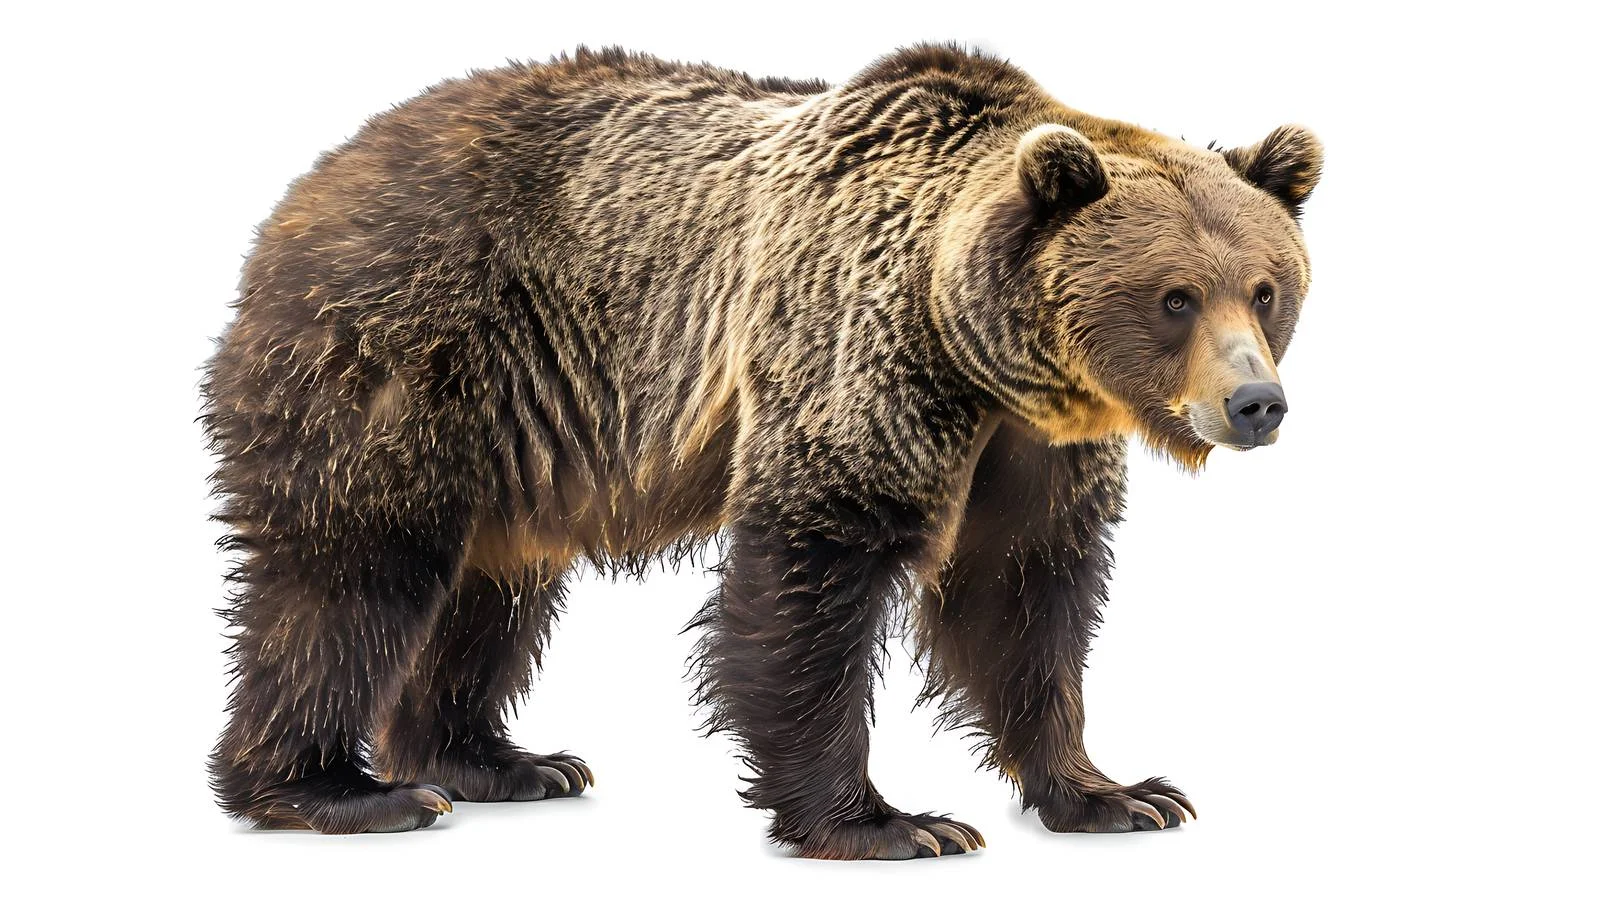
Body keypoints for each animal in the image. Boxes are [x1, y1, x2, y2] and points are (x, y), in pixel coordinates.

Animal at [203, 44, 1321, 859]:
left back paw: (502, 761)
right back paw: (337, 790)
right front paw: (890, 821)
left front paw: (1121, 793)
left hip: (516, 427)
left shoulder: (1033, 444)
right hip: (404, 349)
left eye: (1265, 288)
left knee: (493, 585)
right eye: (1175, 297)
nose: (1256, 402)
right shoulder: (855, 355)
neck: (977, 349)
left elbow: (1021, 591)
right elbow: (812, 570)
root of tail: (317, 177)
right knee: (351, 571)